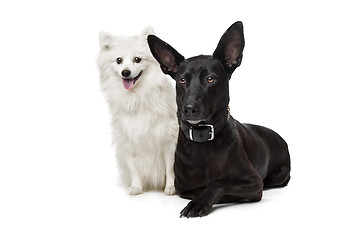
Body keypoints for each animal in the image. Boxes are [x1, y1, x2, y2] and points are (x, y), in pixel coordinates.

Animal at [97, 26, 178, 195]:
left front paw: (170, 187)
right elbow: (134, 167)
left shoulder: (169, 139)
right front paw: (136, 187)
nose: (125, 72)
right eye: (118, 60)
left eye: (137, 59)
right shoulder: (127, 140)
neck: (137, 97)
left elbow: (170, 167)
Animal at [148, 22, 292, 218]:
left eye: (210, 79)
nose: (189, 109)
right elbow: (202, 188)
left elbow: (220, 183)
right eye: (182, 80)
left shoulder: (254, 182)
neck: (203, 139)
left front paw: (201, 203)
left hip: (277, 177)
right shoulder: (183, 188)